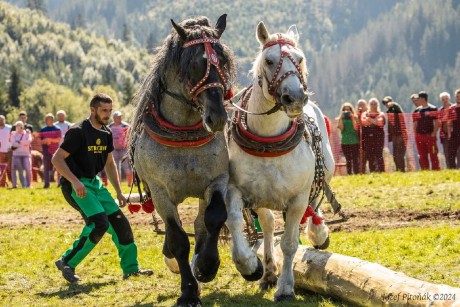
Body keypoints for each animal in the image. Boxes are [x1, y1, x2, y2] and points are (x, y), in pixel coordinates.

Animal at [129, 15, 237, 307]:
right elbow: (177, 239)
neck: (183, 133)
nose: (217, 117)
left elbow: (213, 218)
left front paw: (206, 266)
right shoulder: (160, 191)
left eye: (224, 62)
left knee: (200, 225)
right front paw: (188, 290)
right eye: (196, 64)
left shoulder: (216, 180)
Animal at [226, 22, 334, 304]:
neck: (268, 140)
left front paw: (285, 287)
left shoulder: (297, 198)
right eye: (269, 60)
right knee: (267, 224)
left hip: (319, 180)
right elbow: (235, 222)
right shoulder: (236, 190)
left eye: (300, 59)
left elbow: (289, 243)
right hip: (263, 199)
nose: (295, 97)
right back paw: (268, 272)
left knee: (312, 210)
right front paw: (250, 266)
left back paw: (318, 233)